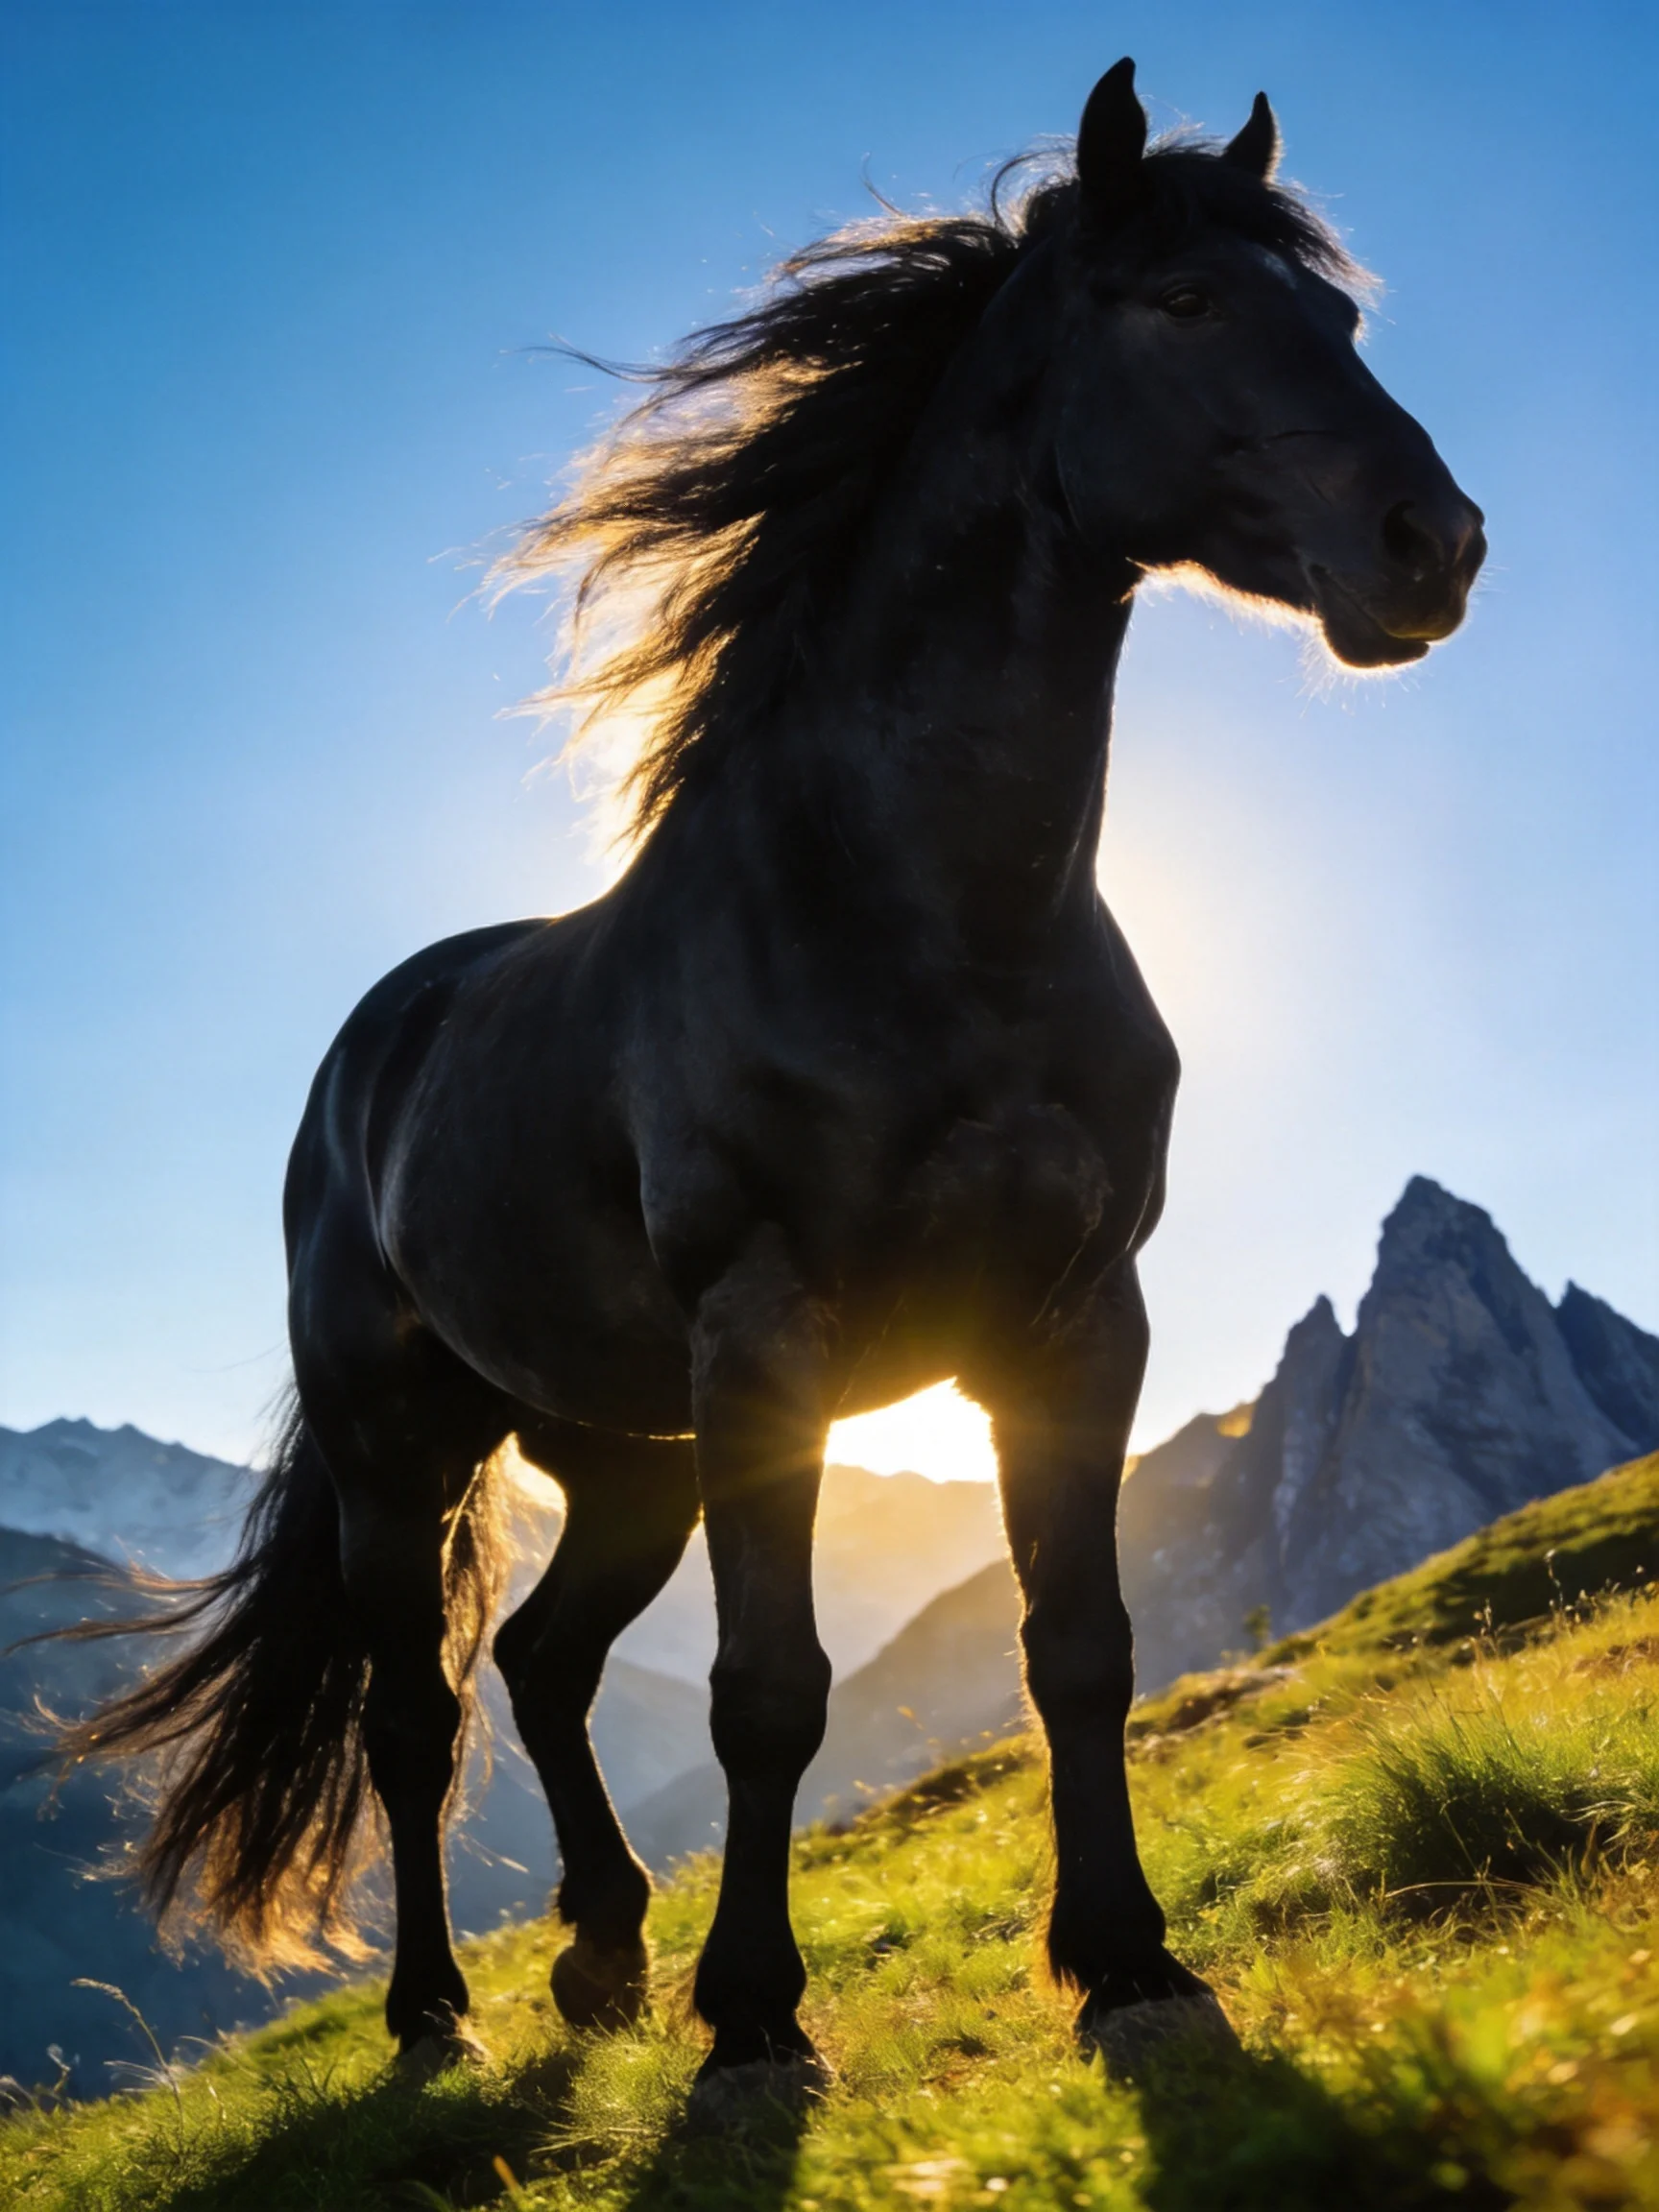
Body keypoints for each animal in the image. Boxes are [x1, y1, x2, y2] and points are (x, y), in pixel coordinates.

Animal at [66, 60, 1483, 2105]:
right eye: (1184, 301)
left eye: (1343, 319)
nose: (1426, 543)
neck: (922, 921)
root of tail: (370, 1048)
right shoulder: (770, 1340)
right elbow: (768, 1693)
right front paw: (752, 2011)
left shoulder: (1077, 1323)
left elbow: (1079, 1641)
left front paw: (1125, 1955)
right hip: (406, 1450)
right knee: (418, 1715)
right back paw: (436, 2003)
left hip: (625, 1455)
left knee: (546, 1664)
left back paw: (597, 1946)